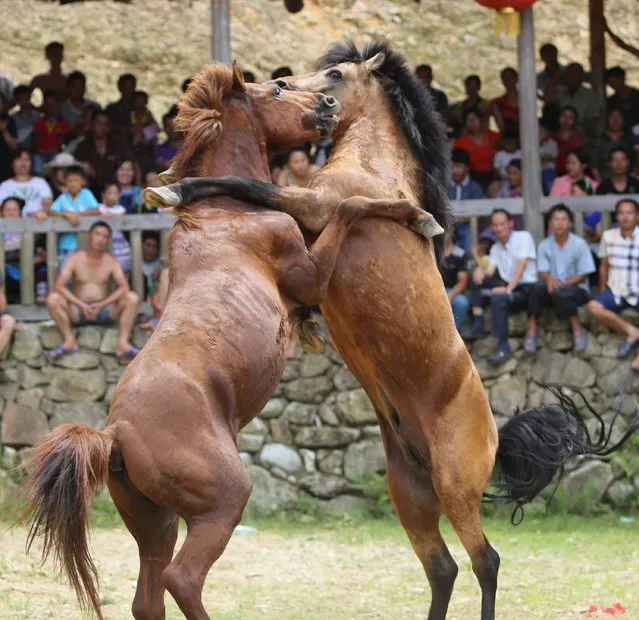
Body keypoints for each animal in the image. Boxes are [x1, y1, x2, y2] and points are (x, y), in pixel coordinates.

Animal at [17, 59, 436, 620]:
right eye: (278, 87)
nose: (327, 105)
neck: (227, 209)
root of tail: (115, 433)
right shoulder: (307, 271)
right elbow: (351, 206)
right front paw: (420, 218)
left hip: (155, 523)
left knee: (149, 595)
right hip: (223, 501)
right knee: (183, 578)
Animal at [151, 41, 639, 616]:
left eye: (336, 75)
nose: (306, 95)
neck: (373, 162)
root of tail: (495, 437)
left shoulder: (313, 205)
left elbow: (250, 184)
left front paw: (173, 188)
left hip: (455, 488)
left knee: (486, 561)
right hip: (411, 495)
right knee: (443, 567)